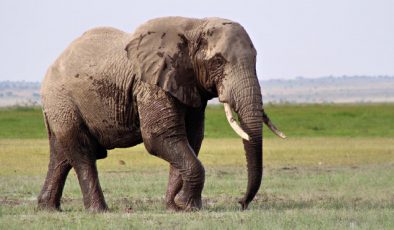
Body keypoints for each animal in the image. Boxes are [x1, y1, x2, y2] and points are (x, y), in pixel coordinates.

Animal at [37, 16, 284, 212]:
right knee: (82, 152)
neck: (195, 26)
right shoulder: (150, 83)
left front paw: (176, 207)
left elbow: (190, 139)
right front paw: (186, 205)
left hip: (60, 105)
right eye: (218, 61)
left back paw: (48, 209)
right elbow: (160, 137)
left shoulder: (188, 83)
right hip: (62, 100)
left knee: (61, 154)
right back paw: (98, 211)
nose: (241, 203)